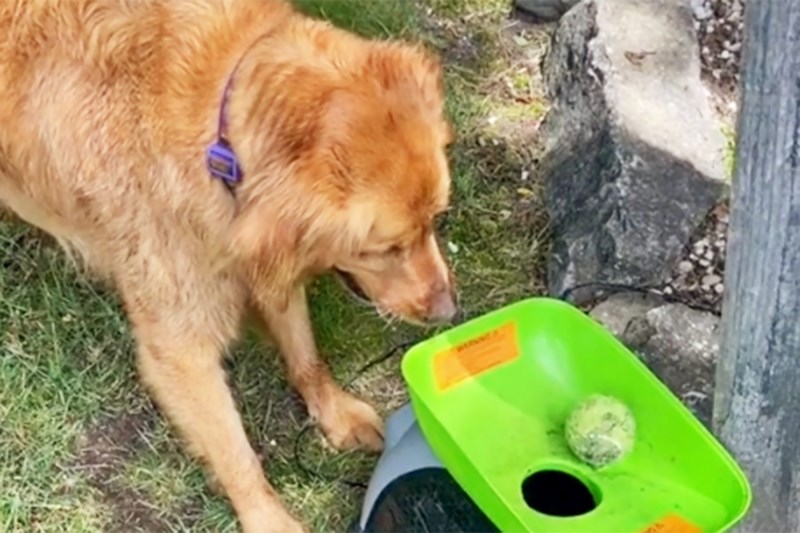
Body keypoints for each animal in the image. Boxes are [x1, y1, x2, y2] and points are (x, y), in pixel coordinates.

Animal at [0, 2, 456, 528]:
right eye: (386, 248)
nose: (449, 312)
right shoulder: (181, 347)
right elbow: (236, 454)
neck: (220, 134)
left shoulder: (261, 252)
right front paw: (269, 519)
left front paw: (333, 409)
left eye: (434, 221)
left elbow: (305, 351)